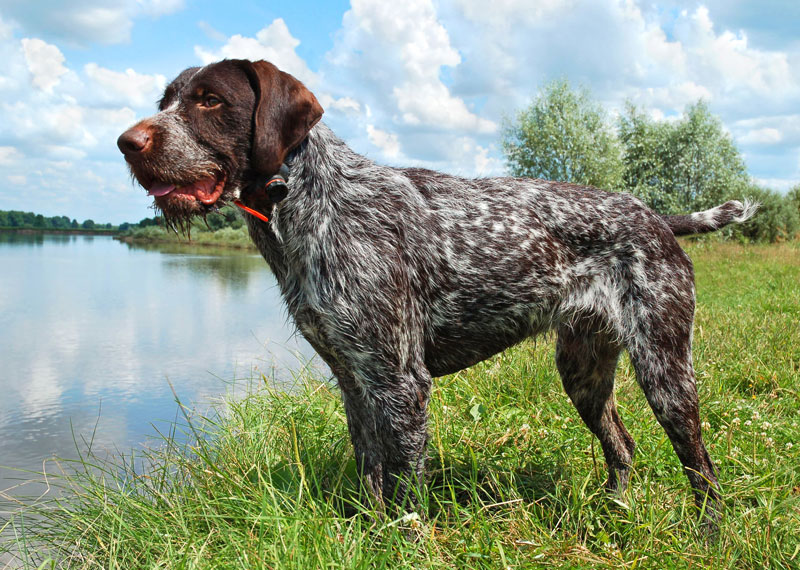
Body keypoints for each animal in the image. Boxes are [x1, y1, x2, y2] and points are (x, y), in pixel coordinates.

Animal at [117, 57, 756, 524]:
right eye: (165, 101)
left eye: (210, 100)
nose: (127, 142)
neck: (305, 202)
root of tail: (656, 218)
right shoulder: (355, 380)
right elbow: (371, 474)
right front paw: (368, 534)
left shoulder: (400, 382)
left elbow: (404, 489)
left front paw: (402, 540)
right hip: (583, 370)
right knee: (621, 446)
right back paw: (616, 512)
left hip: (665, 369)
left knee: (701, 467)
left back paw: (709, 532)